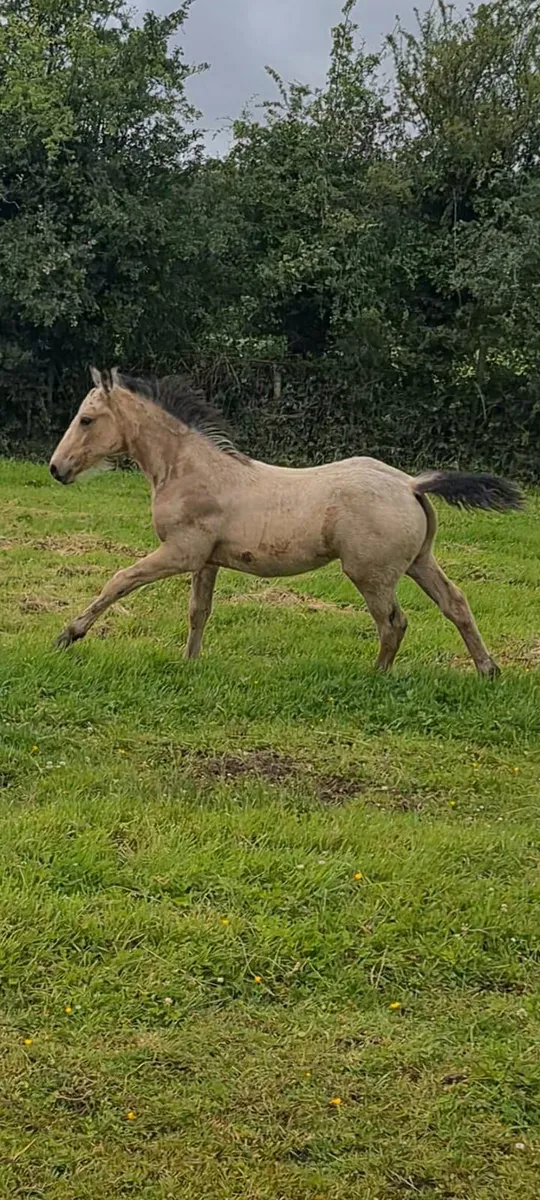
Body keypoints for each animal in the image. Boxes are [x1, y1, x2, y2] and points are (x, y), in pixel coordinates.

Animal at [49, 367, 523, 676]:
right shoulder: (207, 560)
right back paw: (488, 669)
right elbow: (198, 611)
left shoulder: (181, 553)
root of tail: (410, 483)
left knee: (394, 622)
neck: (191, 471)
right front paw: (190, 662)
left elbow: (120, 580)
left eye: (86, 419)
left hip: (370, 573)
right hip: (419, 562)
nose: (56, 469)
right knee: (455, 603)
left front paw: (68, 635)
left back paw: (377, 675)